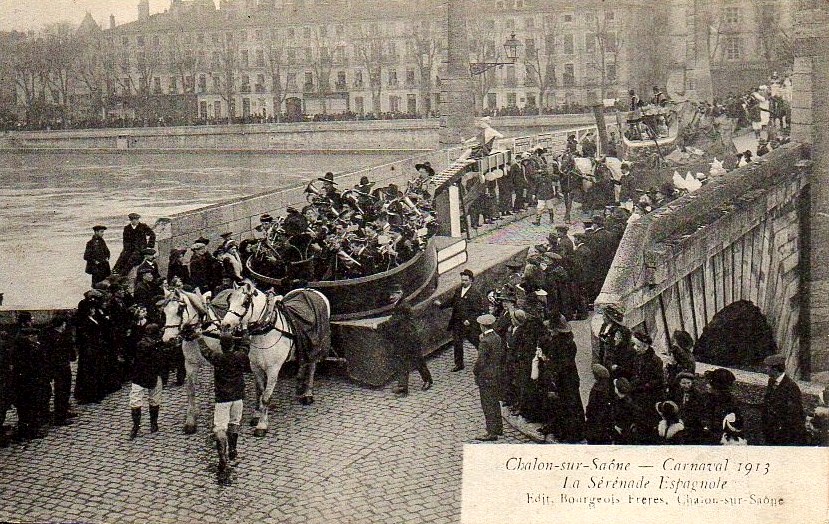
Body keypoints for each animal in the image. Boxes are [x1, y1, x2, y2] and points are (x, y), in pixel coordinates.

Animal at [158, 288, 222, 432]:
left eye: (179, 310)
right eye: (164, 312)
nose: (168, 339)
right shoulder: (190, 364)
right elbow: (190, 389)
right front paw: (191, 420)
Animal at [220, 280, 330, 436]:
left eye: (245, 302)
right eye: (229, 301)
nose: (225, 325)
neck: (265, 330)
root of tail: (309, 289)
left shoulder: (273, 369)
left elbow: (266, 397)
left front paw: (262, 425)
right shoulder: (255, 367)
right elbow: (259, 392)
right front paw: (256, 415)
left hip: (315, 346)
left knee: (311, 367)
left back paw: (308, 394)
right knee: (302, 362)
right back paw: (299, 387)